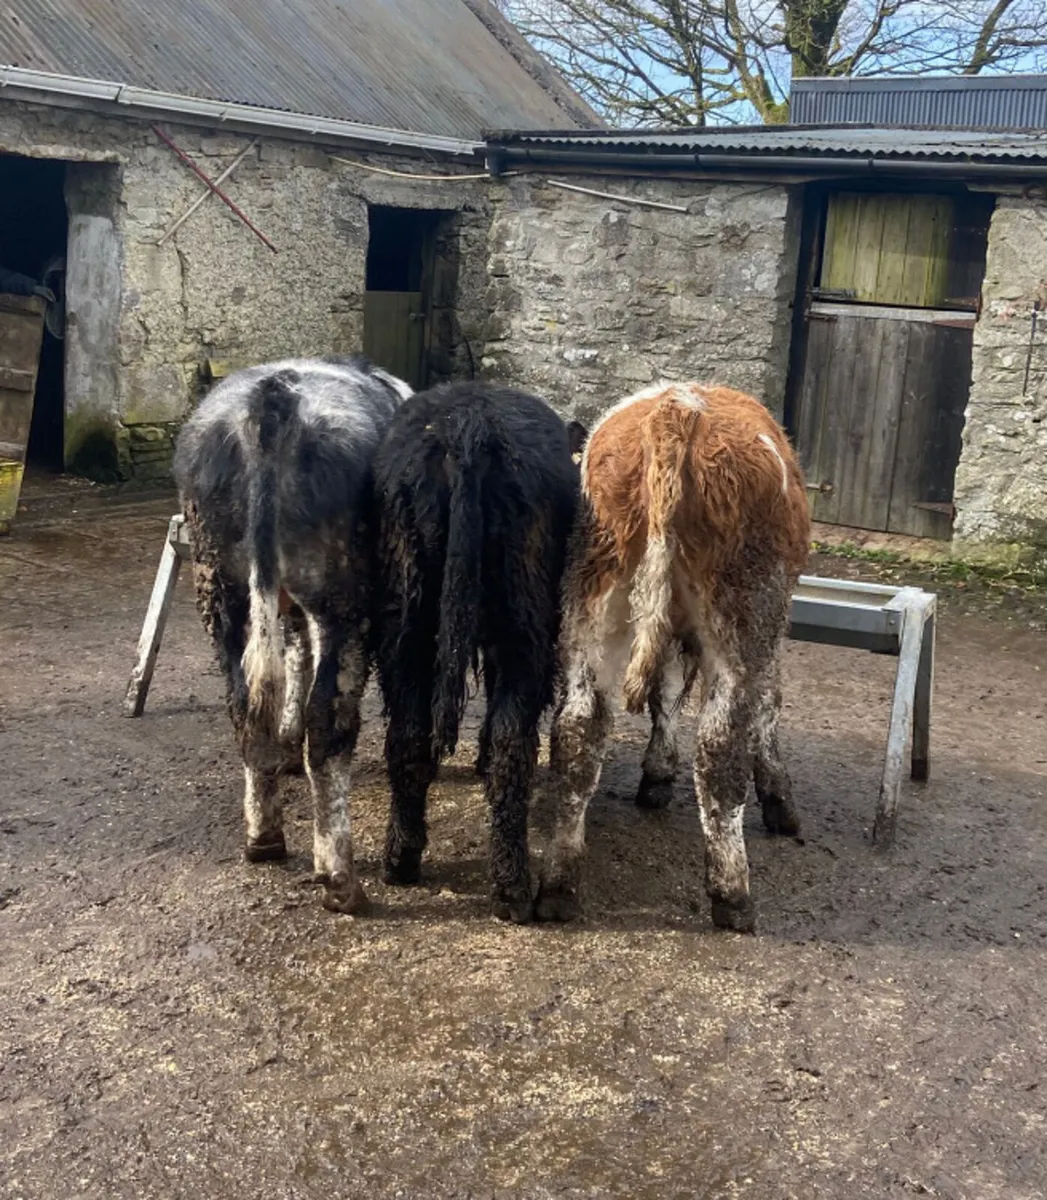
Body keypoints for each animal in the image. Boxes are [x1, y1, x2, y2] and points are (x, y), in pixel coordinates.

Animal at [172, 356, 411, 915]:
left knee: (243, 704)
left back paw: (263, 838)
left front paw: (286, 745)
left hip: (220, 585)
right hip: (341, 596)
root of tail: (272, 401)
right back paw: (340, 879)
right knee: (330, 720)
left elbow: (294, 655)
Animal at [372, 382, 583, 923]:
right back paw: (511, 886)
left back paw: (404, 861)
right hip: (525, 627)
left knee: (408, 736)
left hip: (406, 622)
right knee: (513, 742)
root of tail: (469, 428)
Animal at [537, 382, 810, 932]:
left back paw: (557, 885)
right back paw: (732, 896)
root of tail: (679, 408)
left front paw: (658, 772)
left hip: (595, 604)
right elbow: (768, 706)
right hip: (744, 615)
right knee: (721, 748)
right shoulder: (772, 630)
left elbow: (662, 695)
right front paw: (779, 798)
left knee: (578, 732)